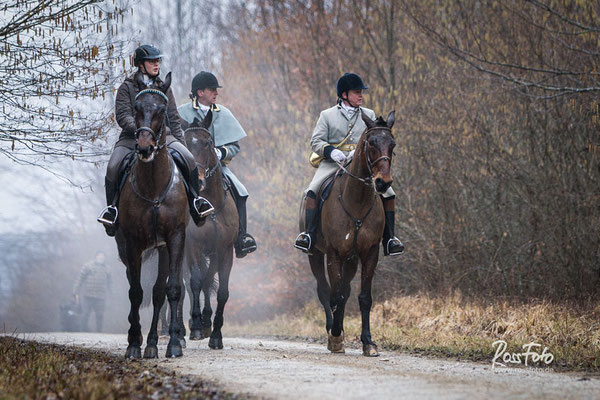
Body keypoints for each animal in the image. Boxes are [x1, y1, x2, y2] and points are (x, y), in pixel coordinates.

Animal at [112, 72, 188, 360]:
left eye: (162, 110)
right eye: (136, 108)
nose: (144, 148)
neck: (154, 185)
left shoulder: (174, 238)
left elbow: (170, 289)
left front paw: (170, 345)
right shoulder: (132, 242)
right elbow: (135, 292)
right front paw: (134, 344)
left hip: (163, 248)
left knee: (158, 293)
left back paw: (154, 343)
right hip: (125, 248)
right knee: (134, 284)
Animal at [298, 109, 394, 356]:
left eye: (393, 144)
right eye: (371, 143)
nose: (383, 182)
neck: (357, 200)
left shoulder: (369, 253)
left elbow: (363, 297)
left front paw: (368, 342)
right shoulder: (333, 253)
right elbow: (335, 294)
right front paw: (335, 337)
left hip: (351, 259)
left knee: (344, 290)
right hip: (315, 254)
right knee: (325, 290)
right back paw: (332, 328)